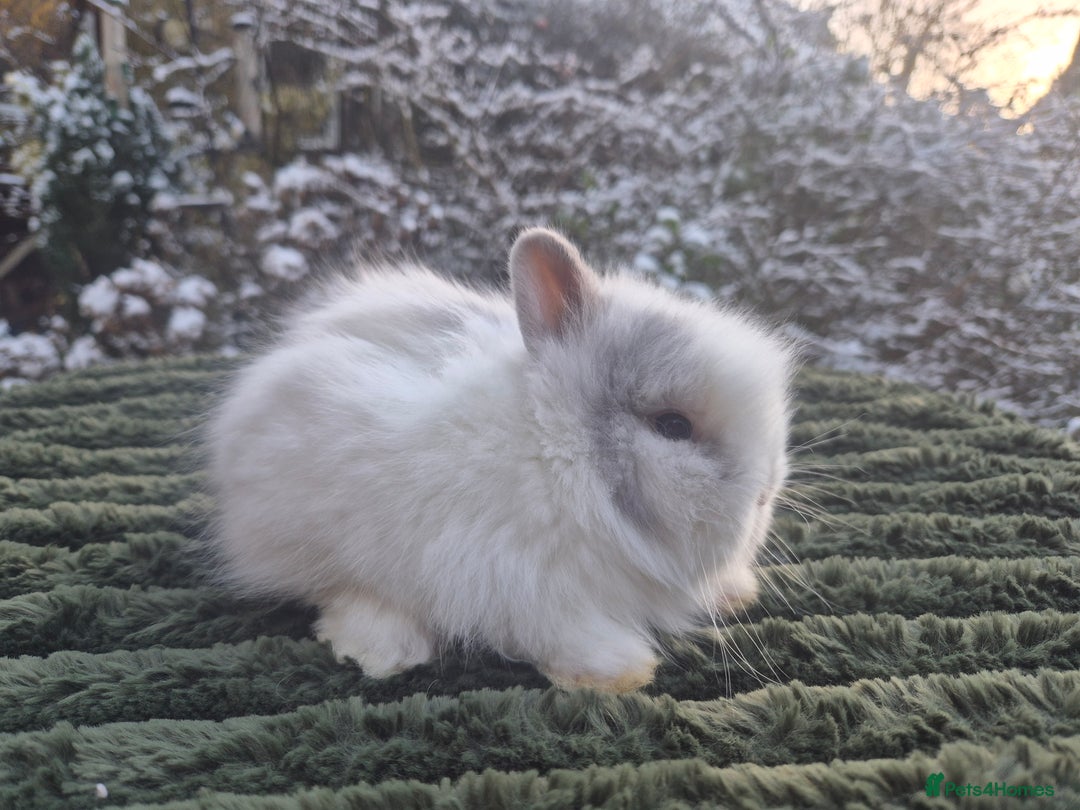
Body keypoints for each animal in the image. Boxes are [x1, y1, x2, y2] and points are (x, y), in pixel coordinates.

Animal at [207, 227, 794, 693]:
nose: (766, 493)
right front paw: (618, 672)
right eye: (673, 425)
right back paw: (384, 649)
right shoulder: (520, 584)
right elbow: (564, 633)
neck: (555, 452)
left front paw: (735, 591)